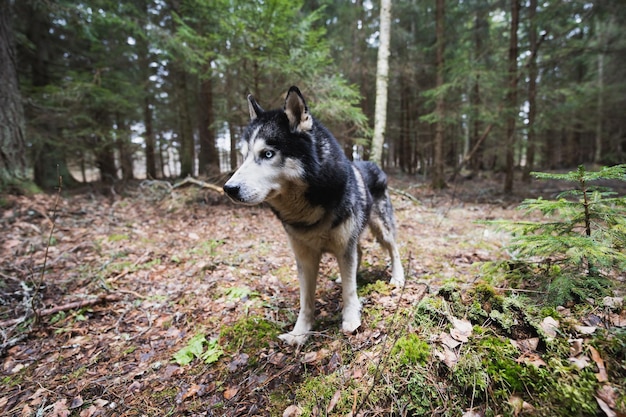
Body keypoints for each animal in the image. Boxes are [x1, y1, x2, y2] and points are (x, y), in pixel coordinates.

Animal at [222, 85, 402, 344]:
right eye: (244, 156)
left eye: (267, 154)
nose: (229, 188)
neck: (308, 211)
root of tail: (372, 163)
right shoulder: (305, 257)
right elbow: (306, 300)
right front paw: (300, 333)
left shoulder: (343, 246)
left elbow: (349, 291)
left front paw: (351, 320)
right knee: (360, 252)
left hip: (381, 229)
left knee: (394, 249)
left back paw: (397, 278)